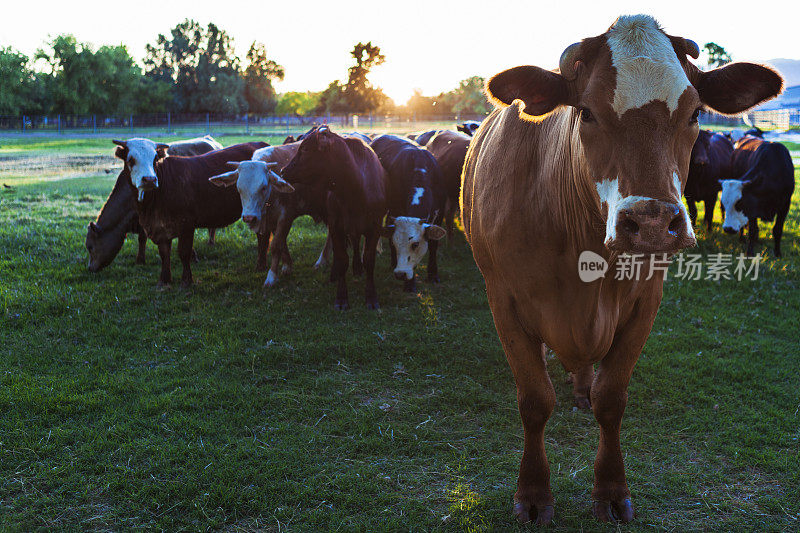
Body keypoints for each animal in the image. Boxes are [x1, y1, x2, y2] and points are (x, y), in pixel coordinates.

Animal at [118, 139, 268, 284]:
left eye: (155, 159)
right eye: (130, 160)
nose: (149, 179)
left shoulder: (187, 225)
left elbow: (184, 252)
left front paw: (186, 281)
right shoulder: (160, 227)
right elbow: (164, 254)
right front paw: (164, 280)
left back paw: (261, 265)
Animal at [282, 127, 388, 310]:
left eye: (305, 149)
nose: (283, 170)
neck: (354, 190)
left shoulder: (374, 227)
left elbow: (369, 259)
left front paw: (371, 296)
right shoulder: (336, 225)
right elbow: (342, 258)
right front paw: (341, 297)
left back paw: (357, 268)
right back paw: (335, 273)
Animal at [462, 14, 780, 524]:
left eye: (695, 113)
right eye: (587, 112)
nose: (651, 222)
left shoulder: (646, 301)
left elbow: (610, 400)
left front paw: (611, 490)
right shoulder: (503, 300)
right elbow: (534, 400)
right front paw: (533, 494)